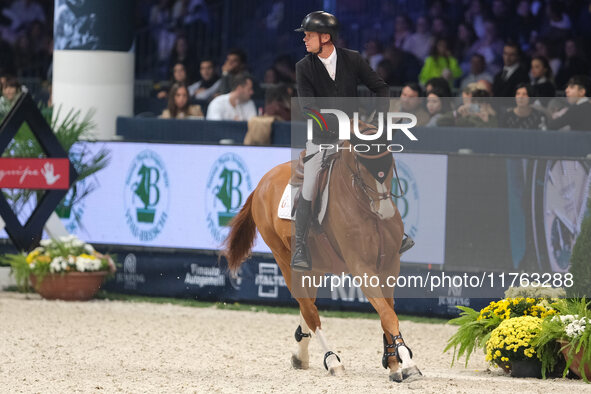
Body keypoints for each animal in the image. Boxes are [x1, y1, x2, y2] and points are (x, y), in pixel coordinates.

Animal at [221, 135, 420, 382]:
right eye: (362, 165)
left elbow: (388, 313)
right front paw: (408, 364)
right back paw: (333, 361)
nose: (384, 211)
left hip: (314, 266)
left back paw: (301, 355)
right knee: (310, 310)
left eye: (390, 162)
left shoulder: (390, 265)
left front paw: (393, 362)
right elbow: (387, 314)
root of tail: (261, 184)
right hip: (284, 259)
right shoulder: (361, 266)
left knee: (307, 304)